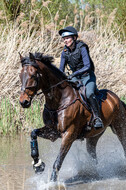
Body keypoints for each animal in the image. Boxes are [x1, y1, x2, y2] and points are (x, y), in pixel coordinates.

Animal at [18, 51, 126, 181]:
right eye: (20, 75)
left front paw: (52, 182)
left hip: (119, 127)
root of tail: (117, 98)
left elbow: (58, 162)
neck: (59, 101)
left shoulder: (69, 134)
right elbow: (33, 133)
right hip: (94, 135)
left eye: (33, 75)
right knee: (93, 155)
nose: (23, 102)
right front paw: (38, 165)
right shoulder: (52, 132)